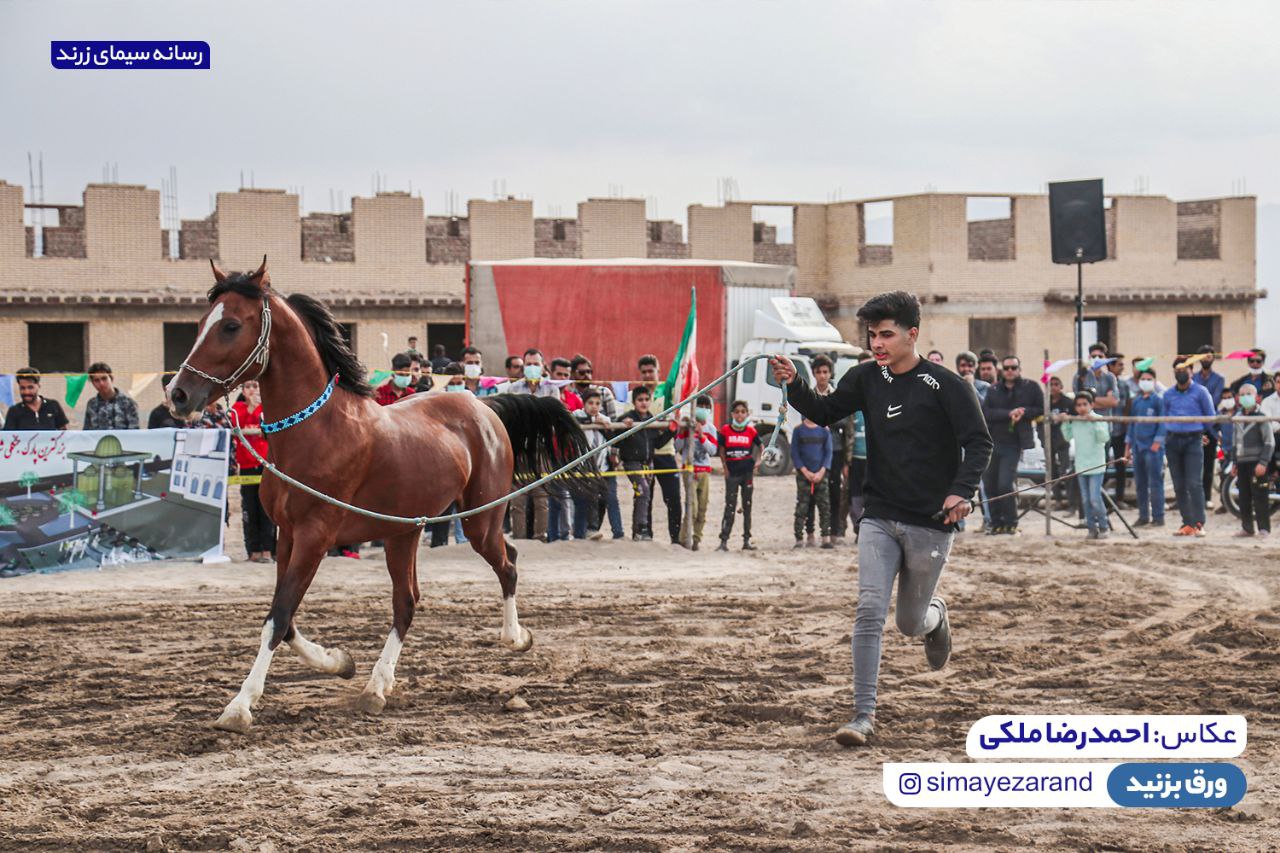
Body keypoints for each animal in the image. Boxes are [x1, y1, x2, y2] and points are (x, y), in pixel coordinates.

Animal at [163, 257, 593, 732]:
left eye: (232, 326)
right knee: (408, 601)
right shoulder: (287, 536)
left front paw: (239, 706)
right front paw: (339, 661)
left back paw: (514, 638)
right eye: (201, 323)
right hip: (403, 532)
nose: (178, 395)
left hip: (479, 520)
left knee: (507, 564)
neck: (316, 431)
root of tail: (485, 407)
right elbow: (286, 617)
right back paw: (376, 686)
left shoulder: (314, 536)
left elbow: (278, 616)